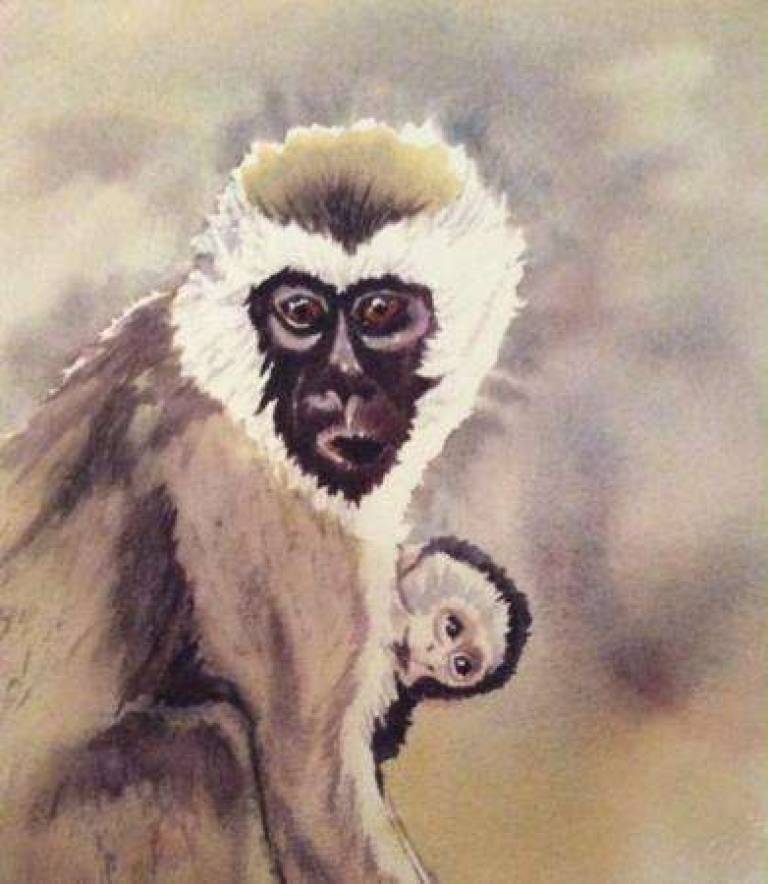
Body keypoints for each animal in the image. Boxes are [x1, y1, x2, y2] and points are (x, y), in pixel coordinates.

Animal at [0, 120, 526, 882]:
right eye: (300, 313)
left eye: (381, 311)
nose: (340, 386)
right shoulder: (257, 493)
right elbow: (312, 793)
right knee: (207, 748)